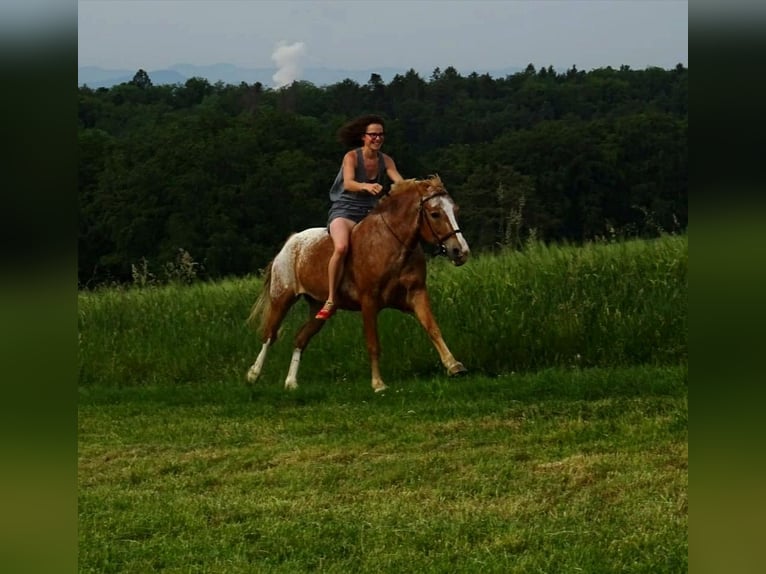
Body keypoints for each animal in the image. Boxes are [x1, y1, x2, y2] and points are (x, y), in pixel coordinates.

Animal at [249, 174, 472, 392]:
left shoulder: (417, 293)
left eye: (456, 210)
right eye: (435, 214)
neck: (393, 244)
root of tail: (290, 242)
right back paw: (253, 374)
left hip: (317, 307)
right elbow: (373, 343)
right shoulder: (369, 301)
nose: (460, 251)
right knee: (269, 335)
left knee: (300, 338)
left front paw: (454, 366)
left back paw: (291, 383)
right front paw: (378, 384)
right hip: (282, 298)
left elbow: (432, 328)